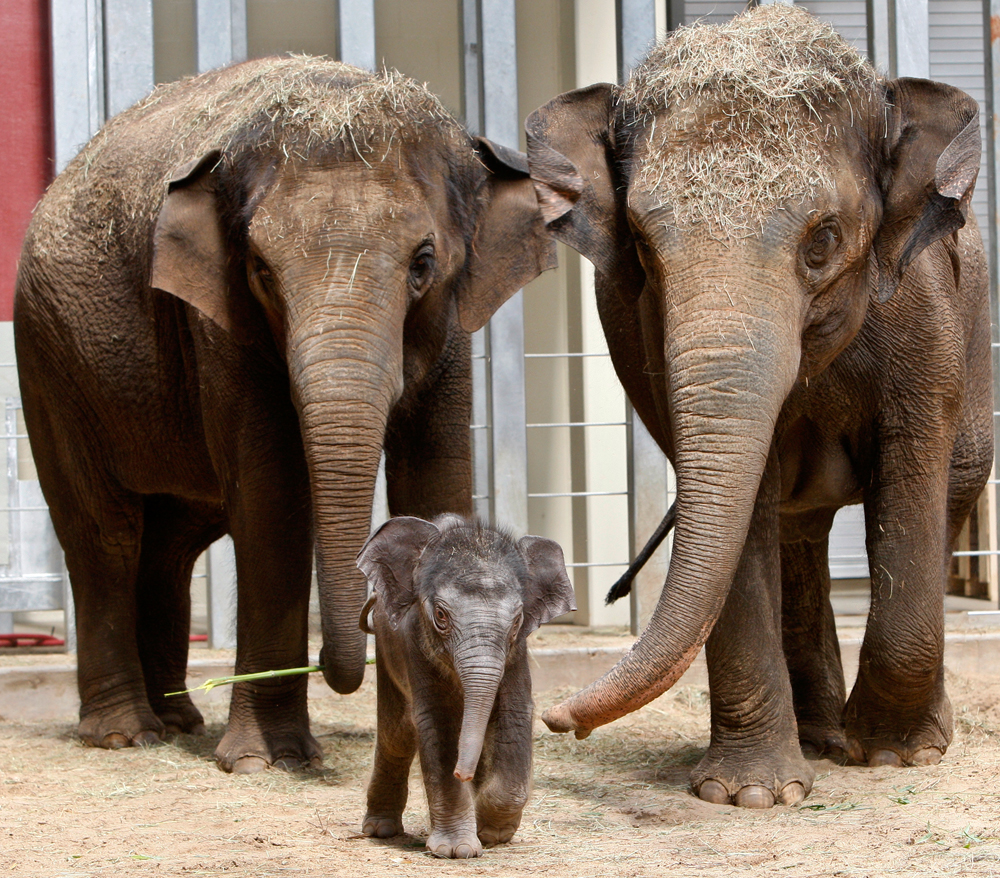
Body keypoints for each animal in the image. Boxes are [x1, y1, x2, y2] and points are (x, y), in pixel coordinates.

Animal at [13, 56, 556, 768]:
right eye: (262, 272)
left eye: (423, 263)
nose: (349, 636)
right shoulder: (219, 326)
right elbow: (271, 497)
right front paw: (266, 759)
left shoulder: (451, 326)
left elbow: (437, 476)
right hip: (49, 359)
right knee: (105, 534)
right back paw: (125, 733)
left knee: (171, 545)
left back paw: (179, 720)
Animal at [360, 516, 580, 860]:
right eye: (440, 615)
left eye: (517, 621)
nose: (463, 773)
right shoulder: (413, 642)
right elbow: (437, 724)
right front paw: (457, 850)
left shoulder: (516, 654)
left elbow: (514, 714)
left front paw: (492, 833)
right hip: (384, 649)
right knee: (396, 734)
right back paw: (380, 830)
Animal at [528, 6, 988, 816]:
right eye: (641, 245)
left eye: (824, 239)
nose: (555, 720)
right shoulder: (643, 341)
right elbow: (741, 506)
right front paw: (750, 795)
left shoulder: (925, 318)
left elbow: (912, 477)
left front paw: (894, 755)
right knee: (795, 532)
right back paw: (820, 738)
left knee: (953, 488)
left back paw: (882, 737)